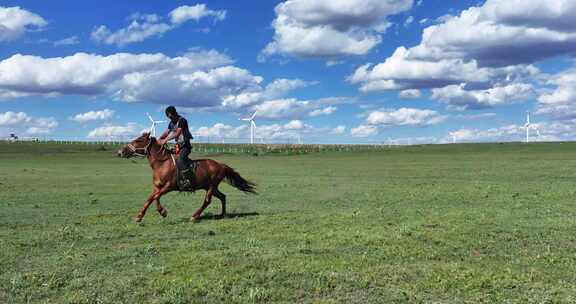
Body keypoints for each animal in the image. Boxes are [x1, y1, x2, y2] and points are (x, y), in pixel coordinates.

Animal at [117, 133, 256, 223]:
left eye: (138, 140)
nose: (120, 152)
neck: (162, 163)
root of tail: (221, 165)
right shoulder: (157, 187)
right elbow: (152, 198)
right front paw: (145, 215)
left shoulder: (168, 187)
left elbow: (154, 197)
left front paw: (159, 212)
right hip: (209, 187)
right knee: (222, 196)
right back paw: (222, 214)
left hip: (211, 187)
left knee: (207, 201)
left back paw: (195, 216)